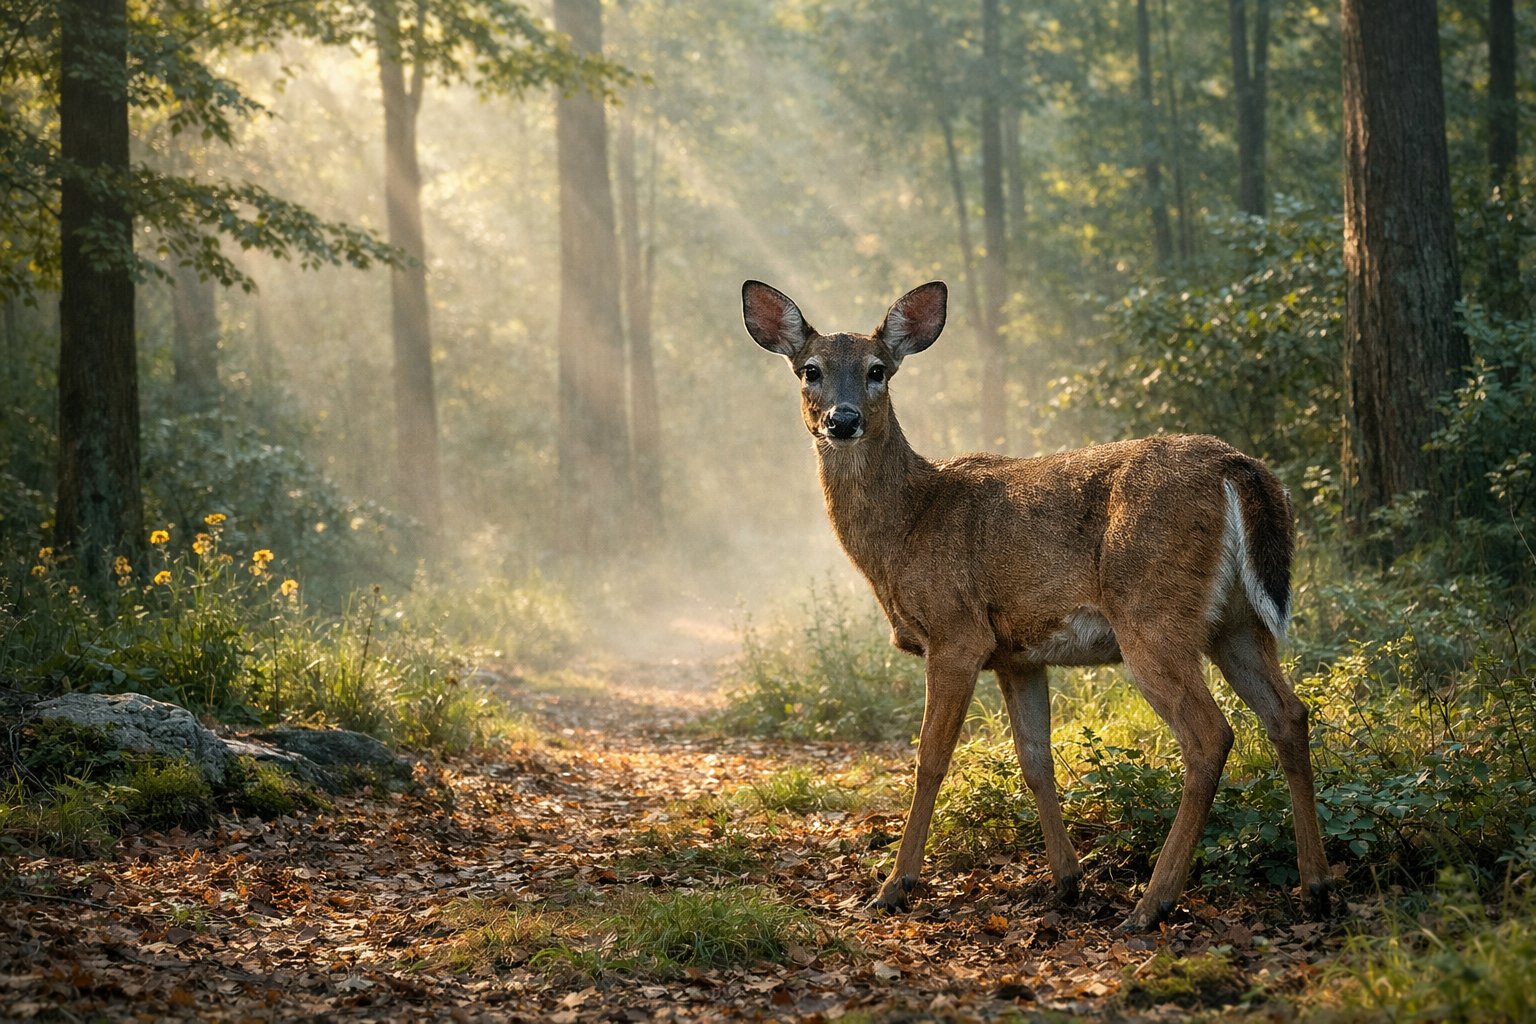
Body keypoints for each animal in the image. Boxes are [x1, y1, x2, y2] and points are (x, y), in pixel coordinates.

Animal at [741, 279, 1334, 932]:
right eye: (811, 370)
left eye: (878, 370)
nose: (842, 420)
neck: (906, 527)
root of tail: (1238, 467)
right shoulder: (1018, 654)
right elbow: (1034, 759)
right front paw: (1067, 881)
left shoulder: (957, 631)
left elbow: (930, 758)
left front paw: (895, 887)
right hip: (1237, 622)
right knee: (1289, 715)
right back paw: (1315, 888)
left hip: (1151, 610)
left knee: (1210, 735)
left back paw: (1151, 905)